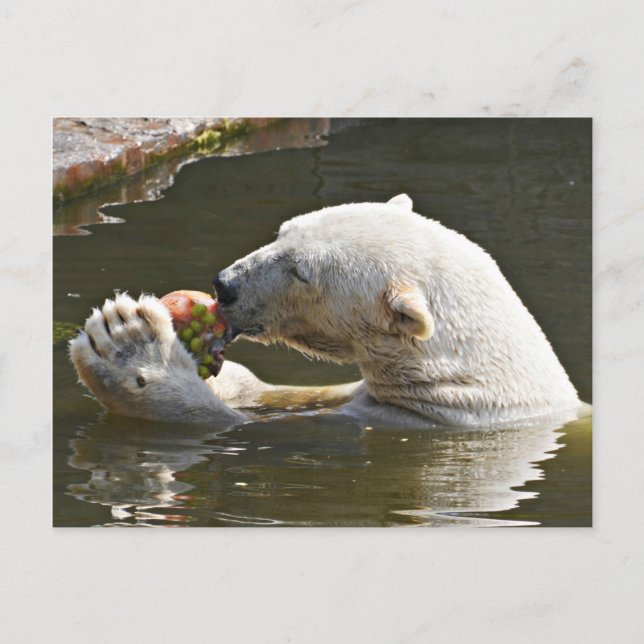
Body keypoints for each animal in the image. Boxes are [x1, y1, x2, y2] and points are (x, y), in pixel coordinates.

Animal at [70, 194, 584, 428]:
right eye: (283, 231)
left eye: (301, 272)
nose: (225, 285)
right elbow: (279, 394)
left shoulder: (403, 421)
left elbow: (232, 424)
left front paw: (127, 345)